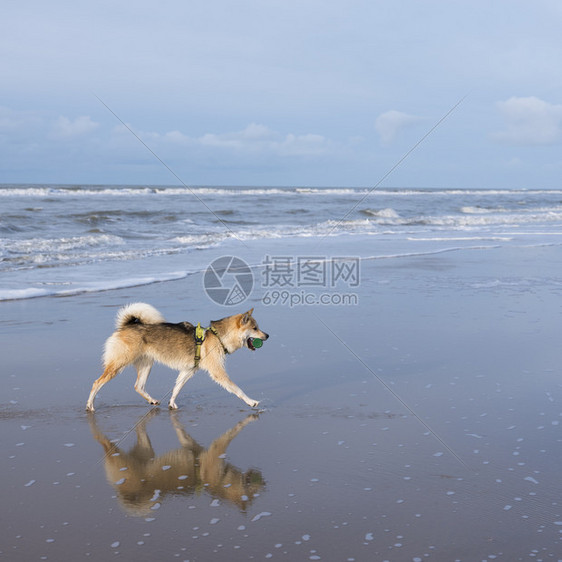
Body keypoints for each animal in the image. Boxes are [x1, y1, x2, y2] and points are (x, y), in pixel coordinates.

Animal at [84, 302, 268, 412]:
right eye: (255, 328)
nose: (267, 335)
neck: (218, 336)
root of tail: (126, 326)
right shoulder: (217, 372)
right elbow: (237, 389)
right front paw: (251, 401)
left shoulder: (188, 370)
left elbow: (176, 388)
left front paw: (171, 404)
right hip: (119, 364)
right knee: (97, 383)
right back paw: (90, 405)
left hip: (147, 364)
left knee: (138, 386)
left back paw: (152, 401)